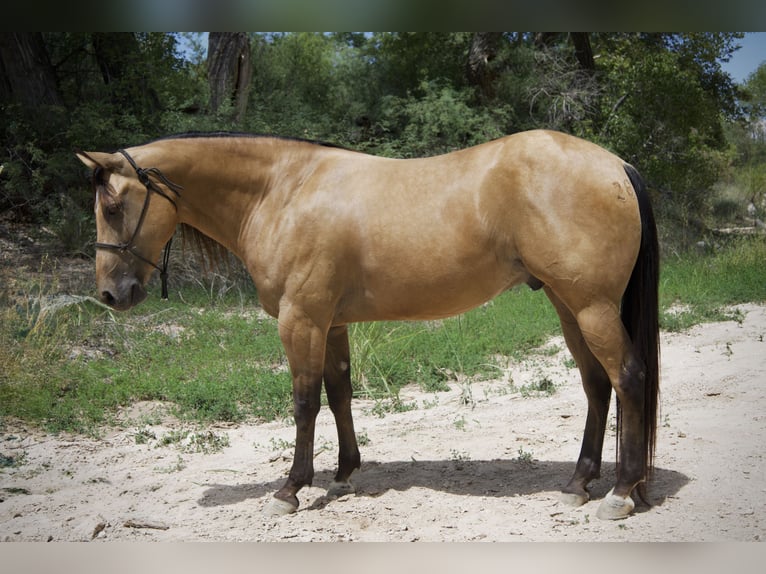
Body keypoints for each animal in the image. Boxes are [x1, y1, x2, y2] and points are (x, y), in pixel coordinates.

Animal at [76, 129, 659, 520]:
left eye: (113, 204)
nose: (109, 294)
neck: (282, 191)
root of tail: (616, 164)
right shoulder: (331, 323)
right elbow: (340, 394)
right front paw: (344, 475)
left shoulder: (302, 320)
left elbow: (304, 402)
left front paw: (291, 489)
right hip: (567, 304)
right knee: (596, 384)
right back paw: (579, 482)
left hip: (591, 306)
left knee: (628, 379)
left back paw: (621, 492)